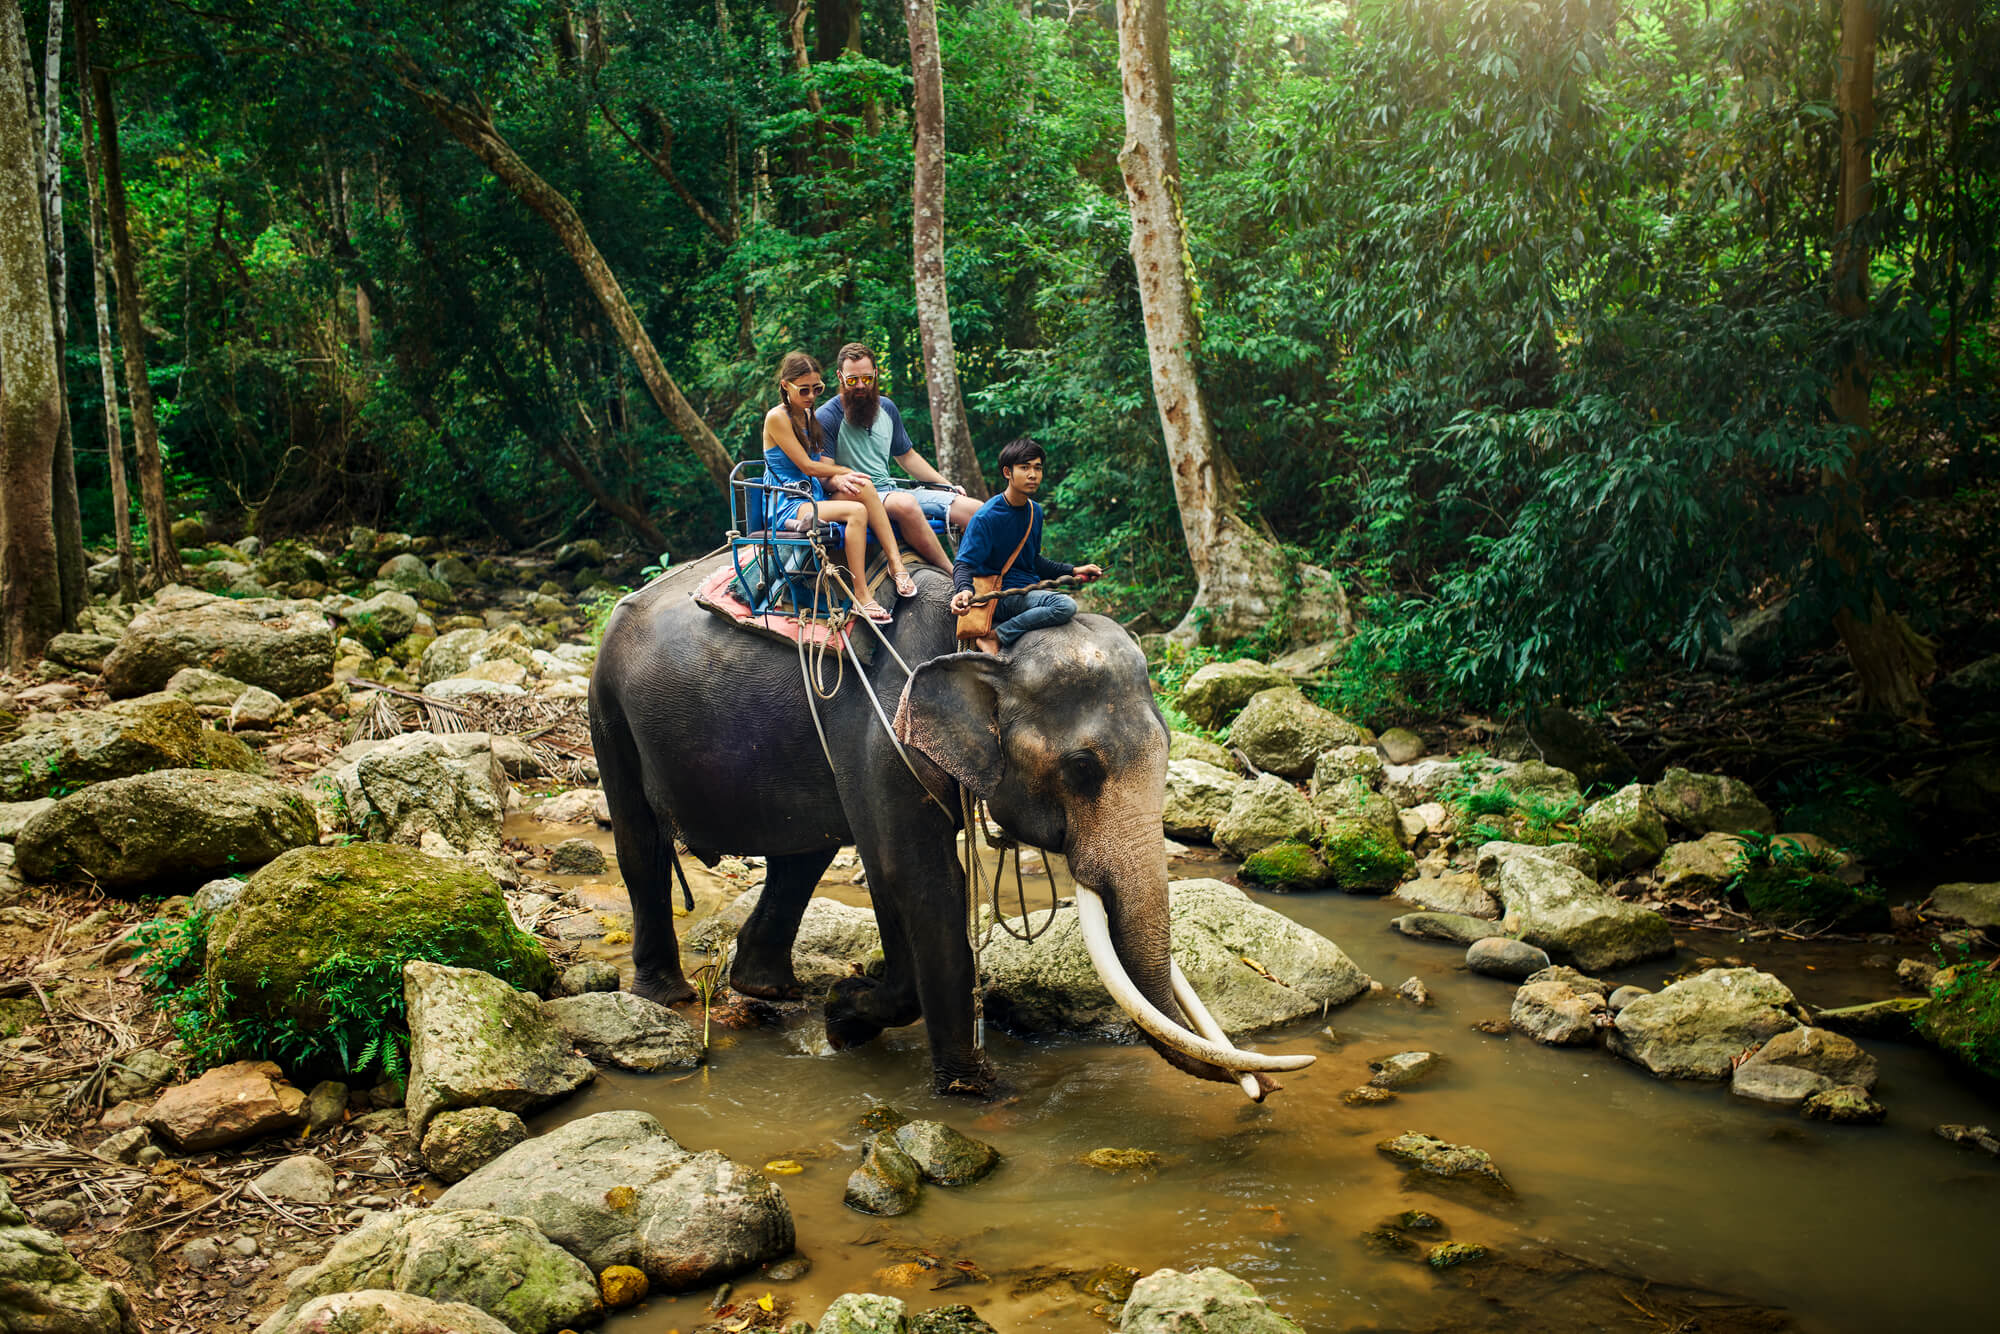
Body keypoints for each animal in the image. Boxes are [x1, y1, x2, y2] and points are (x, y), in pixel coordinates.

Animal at [592, 548, 1312, 1104]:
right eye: (1082, 769)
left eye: (1167, 748)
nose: (1269, 1092)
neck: (987, 632)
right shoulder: (883, 728)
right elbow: (913, 874)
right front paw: (956, 1081)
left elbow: (893, 872)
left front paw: (844, 1013)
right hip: (608, 706)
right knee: (642, 847)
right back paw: (669, 996)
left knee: (804, 855)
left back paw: (767, 989)